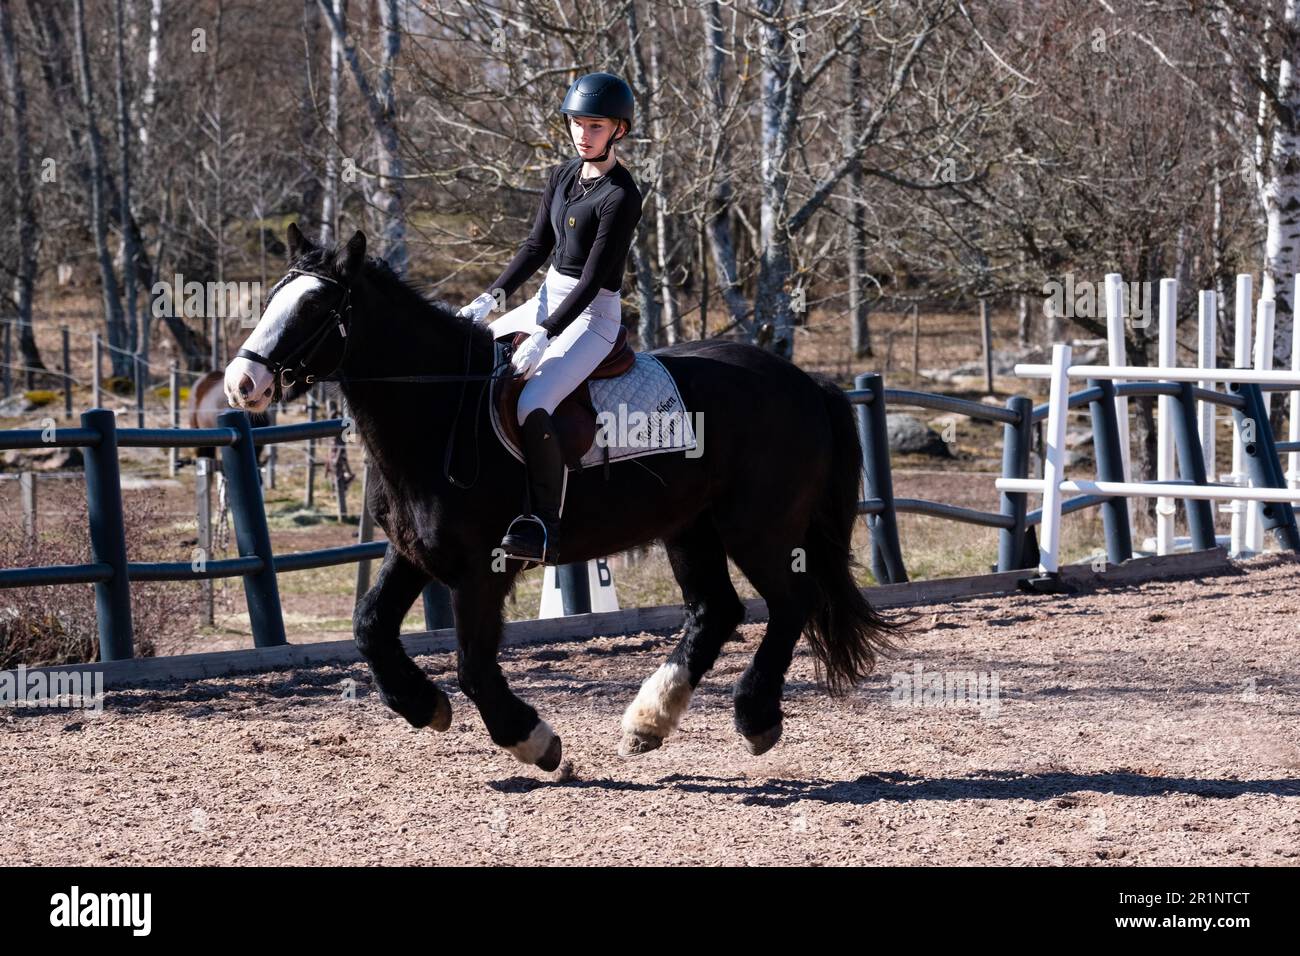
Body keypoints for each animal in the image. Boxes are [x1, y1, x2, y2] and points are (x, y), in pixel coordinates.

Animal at [226, 227, 904, 775]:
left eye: (316, 305)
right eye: (273, 297)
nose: (242, 382)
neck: (443, 408)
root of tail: (805, 382)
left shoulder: (482, 569)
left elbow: (473, 665)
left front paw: (533, 740)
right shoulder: (415, 555)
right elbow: (369, 628)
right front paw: (424, 707)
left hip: (757, 528)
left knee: (791, 603)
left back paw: (755, 717)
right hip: (691, 528)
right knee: (717, 611)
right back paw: (648, 722)